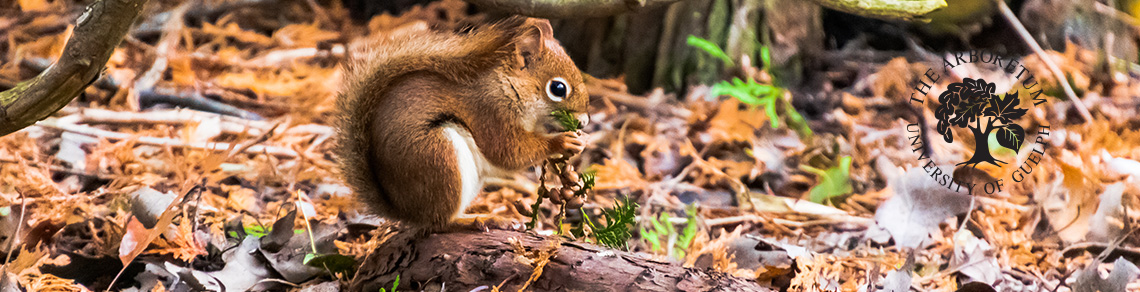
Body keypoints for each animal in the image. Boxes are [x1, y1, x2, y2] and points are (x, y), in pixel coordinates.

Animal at [332, 16, 588, 230]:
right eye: (558, 88)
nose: (584, 122)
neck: (508, 86)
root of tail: (407, 212)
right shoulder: (490, 112)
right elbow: (509, 152)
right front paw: (562, 142)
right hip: (439, 156)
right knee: (441, 222)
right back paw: (480, 219)